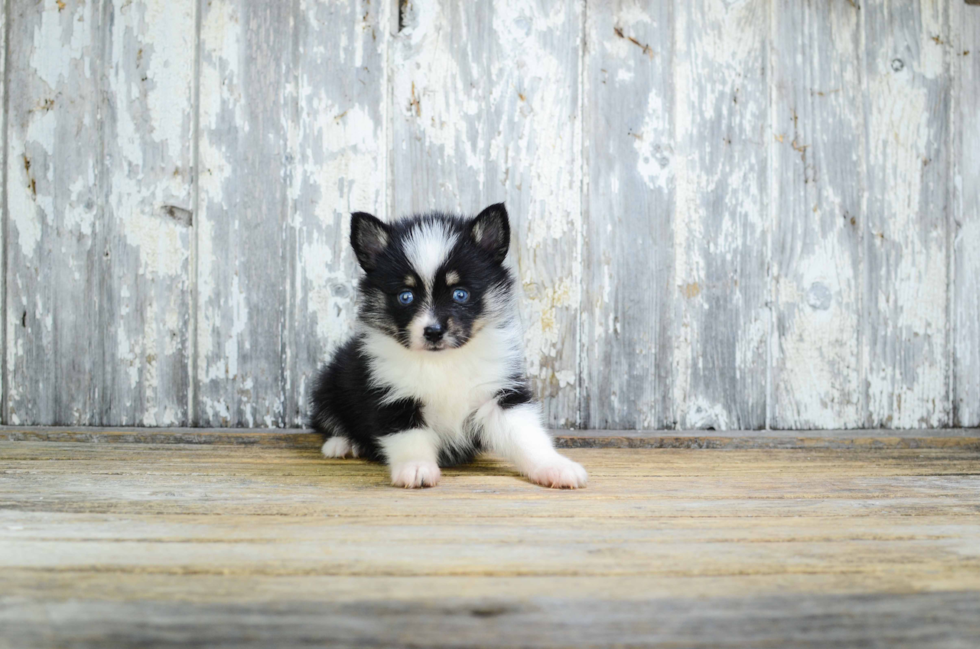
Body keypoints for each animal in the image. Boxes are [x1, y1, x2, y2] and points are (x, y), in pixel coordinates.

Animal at [312, 205, 588, 488]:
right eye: (405, 296)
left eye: (460, 294)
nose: (433, 332)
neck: (443, 360)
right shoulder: (392, 395)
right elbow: (408, 437)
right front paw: (416, 468)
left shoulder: (498, 393)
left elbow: (526, 435)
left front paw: (555, 467)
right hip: (328, 383)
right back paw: (341, 444)